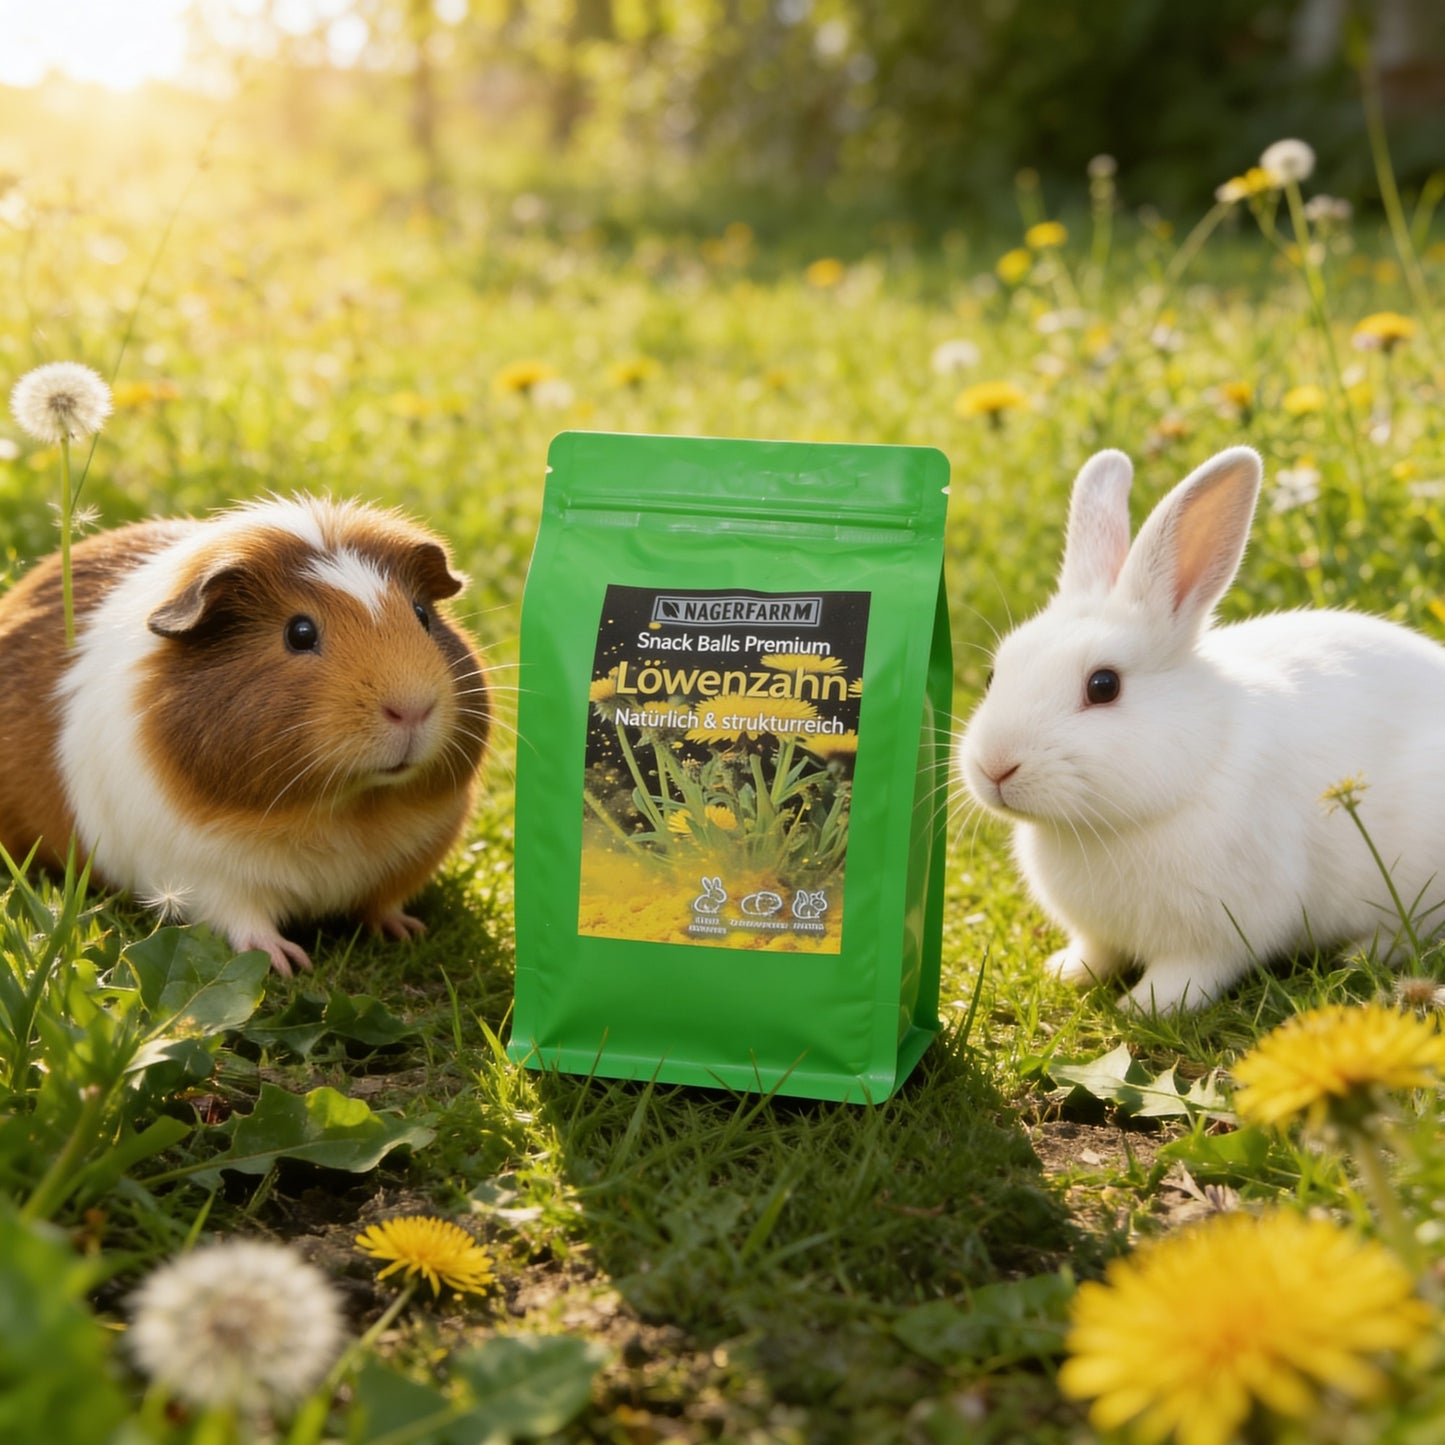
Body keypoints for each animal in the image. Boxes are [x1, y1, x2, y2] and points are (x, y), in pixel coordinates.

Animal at [0, 495, 490, 976]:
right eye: (300, 632)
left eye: (422, 615)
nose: (412, 709)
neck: (347, 810)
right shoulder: (203, 874)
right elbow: (244, 921)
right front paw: (286, 962)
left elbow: (382, 904)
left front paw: (407, 931)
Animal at [955, 444, 1445, 1012]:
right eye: (994, 675)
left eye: (1103, 685)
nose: (996, 767)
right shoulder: (1099, 933)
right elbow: (1096, 952)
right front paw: (1066, 972)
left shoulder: (1223, 932)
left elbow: (1191, 972)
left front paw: (1145, 1006)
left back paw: (1360, 954)